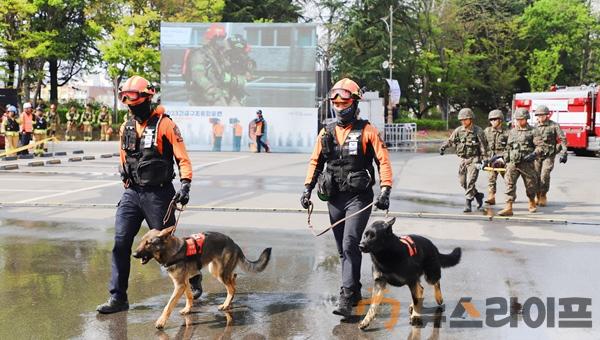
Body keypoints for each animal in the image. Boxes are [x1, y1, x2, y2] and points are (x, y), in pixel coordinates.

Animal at [134, 226, 272, 330]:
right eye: (141, 241)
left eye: (148, 243)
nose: (134, 254)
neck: (171, 251)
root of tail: (234, 243)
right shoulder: (184, 283)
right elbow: (189, 296)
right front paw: (188, 309)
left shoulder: (179, 285)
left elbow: (168, 306)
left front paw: (161, 322)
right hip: (215, 271)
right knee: (233, 279)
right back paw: (229, 299)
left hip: (220, 273)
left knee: (231, 287)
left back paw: (225, 304)